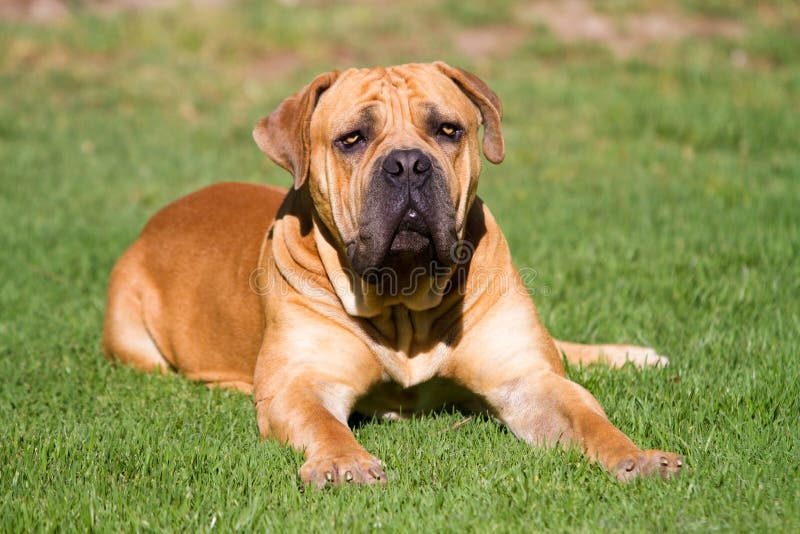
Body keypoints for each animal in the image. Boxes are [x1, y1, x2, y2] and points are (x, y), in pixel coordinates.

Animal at [103, 60, 684, 488]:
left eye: (448, 129)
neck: (404, 298)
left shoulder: (526, 378)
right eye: (352, 139)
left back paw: (636, 356)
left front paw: (637, 456)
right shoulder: (301, 383)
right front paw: (344, 463)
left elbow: (587, 415)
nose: (408, 163)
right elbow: (322, 422)